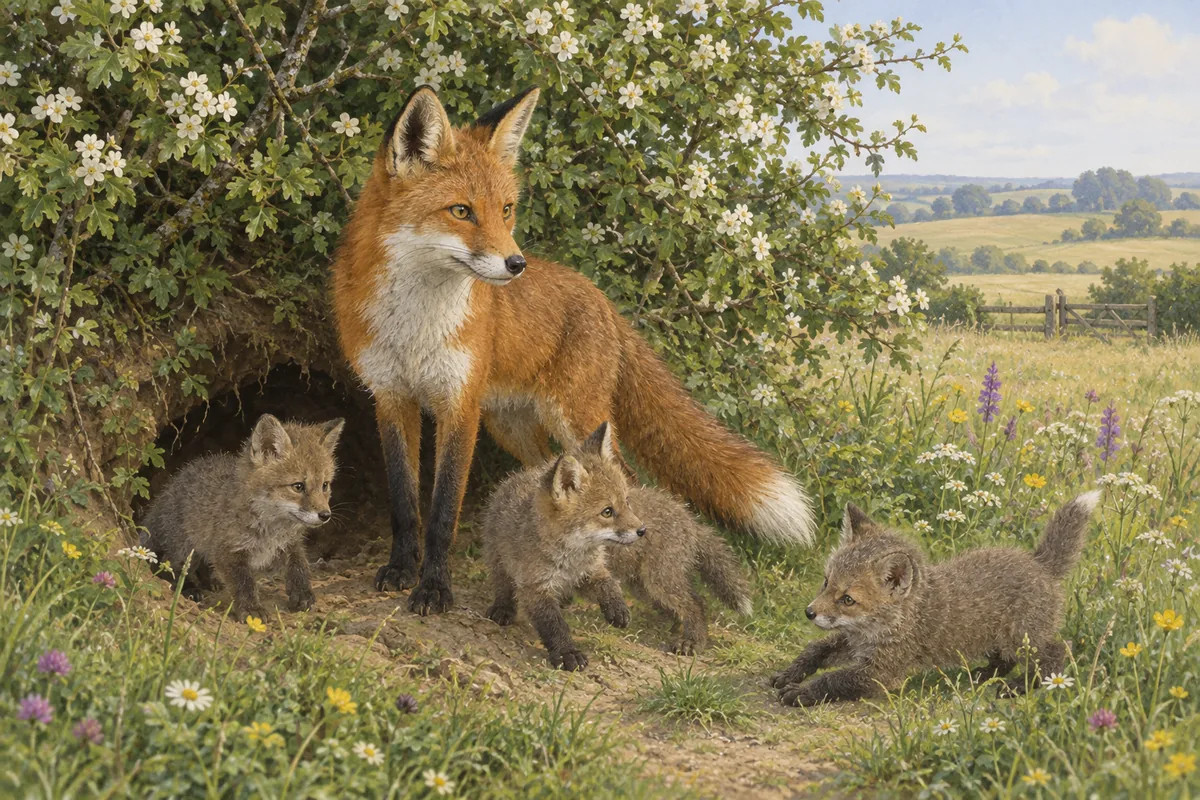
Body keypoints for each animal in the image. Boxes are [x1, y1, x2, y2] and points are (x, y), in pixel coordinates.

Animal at [140, 414, 345, 623]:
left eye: (325, 485)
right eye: (298, 486)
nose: (325, 515)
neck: (270, 529)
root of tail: (168, 489)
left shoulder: (288, 544)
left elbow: (299, 565)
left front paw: (302, 592)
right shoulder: (228, 550)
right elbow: (244, 583)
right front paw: (251, 609)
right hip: (185, 548)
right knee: (168, 567)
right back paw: (190, 589)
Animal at [330, 85, 814, 616]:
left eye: (506, 209)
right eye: (461, 211)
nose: (516, 264)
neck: (415, 326)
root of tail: (602, 299)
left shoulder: (459, 406)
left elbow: (442, 512)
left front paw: (435, 588)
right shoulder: (392, 398)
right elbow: (403, 502)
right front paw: (400, 569)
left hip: (574, 417)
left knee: (625, 480)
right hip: (510, 426)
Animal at [771, 491, 1101, 707]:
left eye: (848, 599)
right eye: (826, 583)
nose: (809, 612)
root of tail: (1039, 563)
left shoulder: (882, 670)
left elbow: (835, 679)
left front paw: (803, 692)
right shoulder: (856, 643)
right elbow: (815, 650)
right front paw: (790, 673)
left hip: (1023, 638)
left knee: (1058, 651)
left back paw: (1021, 685)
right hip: (997, 638)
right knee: (1004, 659)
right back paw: (982, 674)